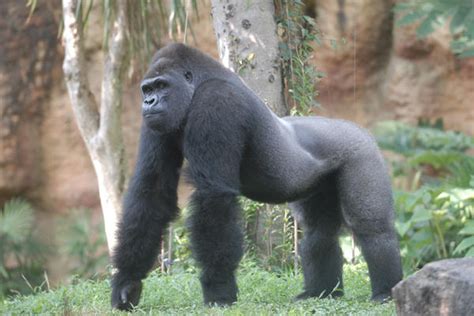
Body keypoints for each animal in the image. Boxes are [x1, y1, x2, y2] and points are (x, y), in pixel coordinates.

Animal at [112, 43, 404, 310]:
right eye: (147, 90)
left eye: (162, 86)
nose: (148, 102)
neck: (198, 83)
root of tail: (359, 129)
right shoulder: (156, 123)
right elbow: (152, 191)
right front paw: (127, 282)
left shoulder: (217, 101)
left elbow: (213, 195)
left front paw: (219, 288)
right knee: (318, 232)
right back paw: (321, 292)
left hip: (362, 151)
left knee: (371, 226)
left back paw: (386, 290)